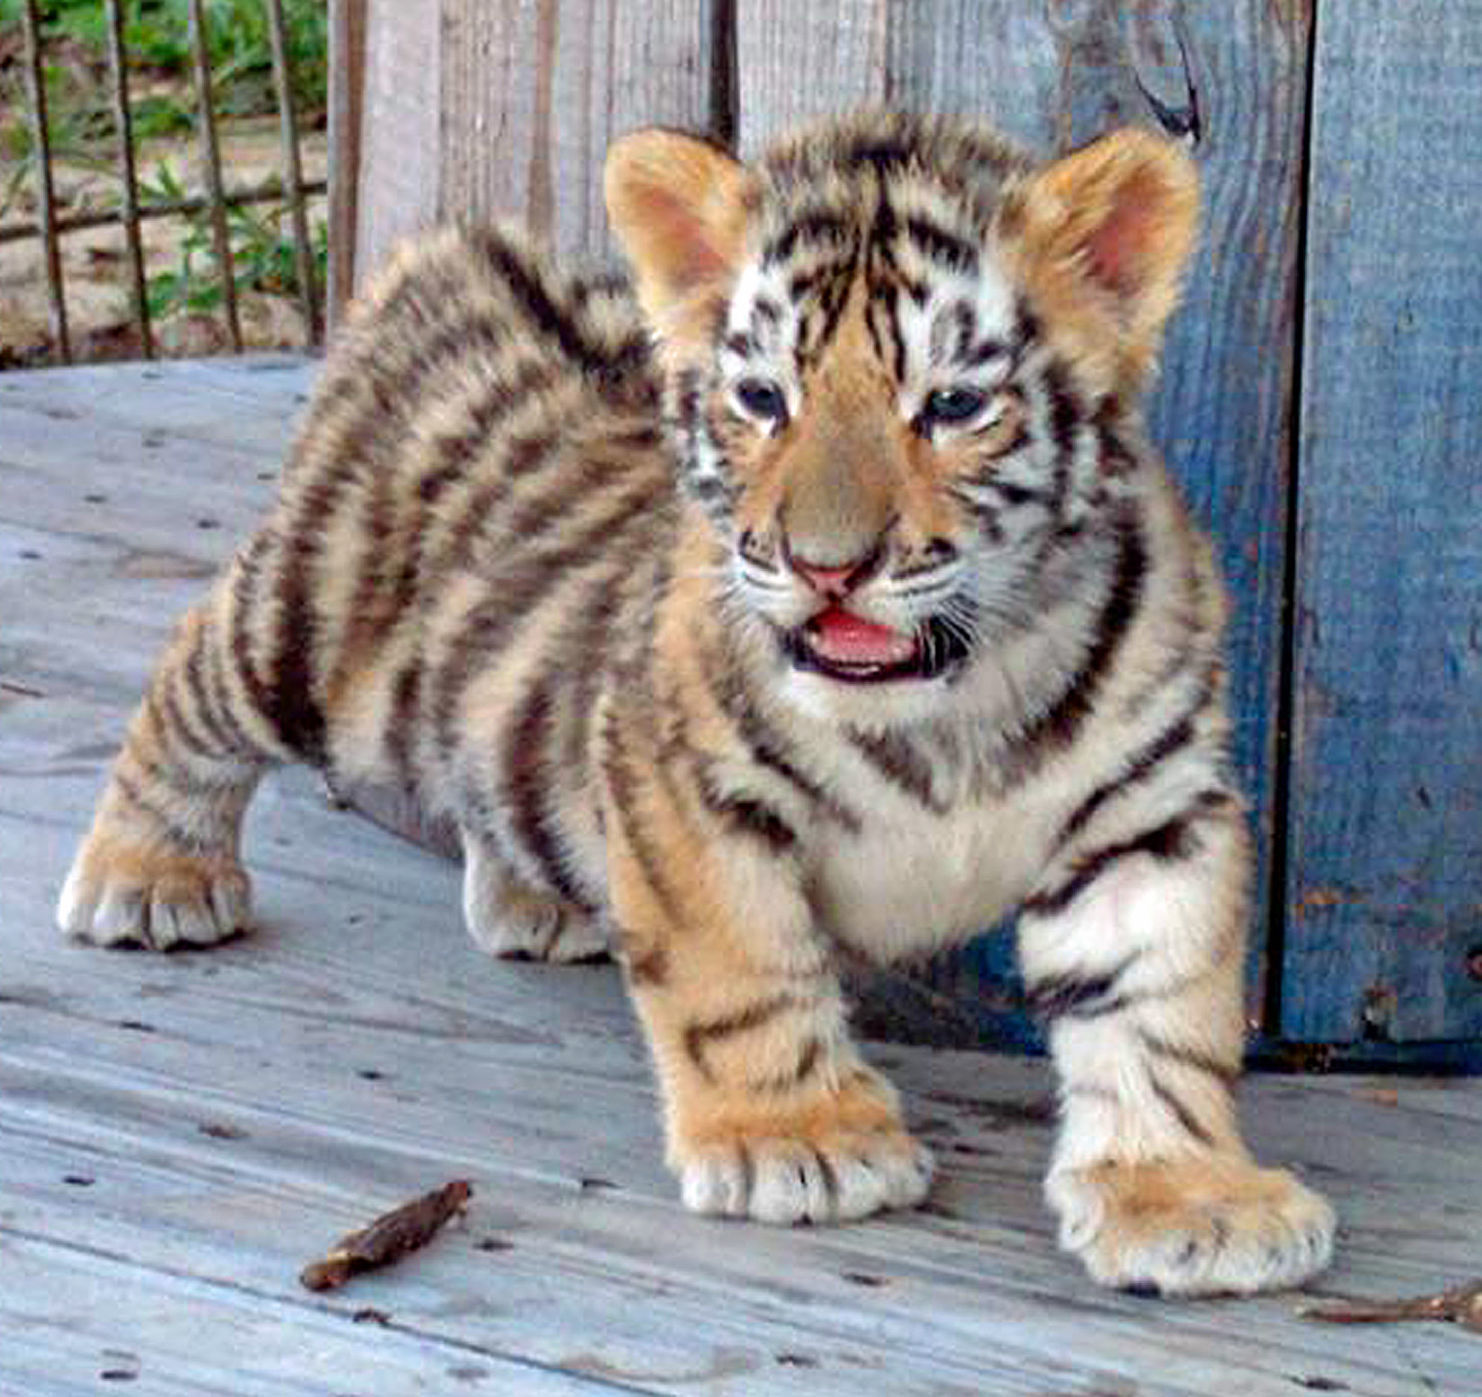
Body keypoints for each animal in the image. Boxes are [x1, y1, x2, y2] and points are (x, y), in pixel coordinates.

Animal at [57, 109, 1335, 1296]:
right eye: (764, 398)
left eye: (954, 405)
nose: (828, 566)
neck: (951, 696)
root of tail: (460, 258)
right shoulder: (684, 780)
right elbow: (744, 970)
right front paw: (799, 1140)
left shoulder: (1150, 810)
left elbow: (1157, 1007)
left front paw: (1189, 1198)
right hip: (314, 636)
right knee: (192, 663)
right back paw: (150, 875)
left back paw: (538, 895)